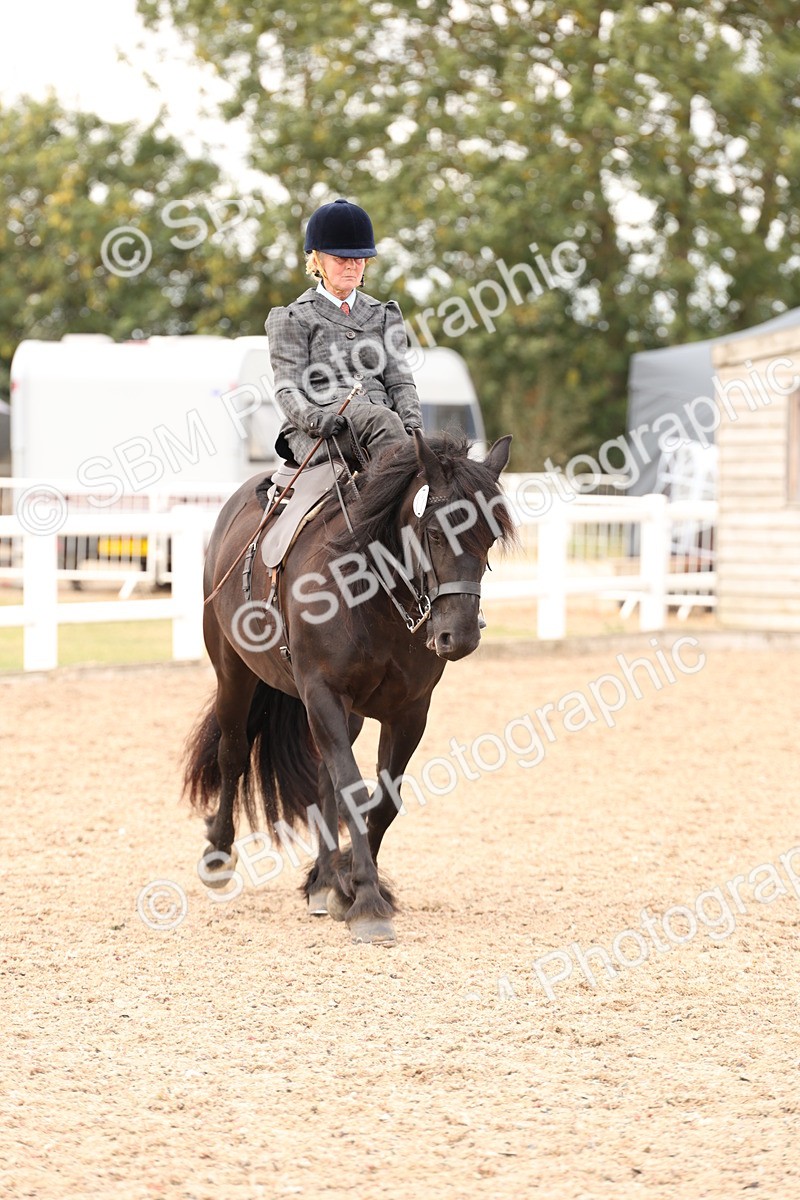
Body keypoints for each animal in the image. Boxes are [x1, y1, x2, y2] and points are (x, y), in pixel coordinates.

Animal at [183, 430, 515, 945]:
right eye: (434, 533)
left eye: (489, 537)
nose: (458, 636)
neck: (371, 593)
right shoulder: (323, 696)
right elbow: (356, 796)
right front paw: (367, 902)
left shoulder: (409, 712)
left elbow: (383, 800)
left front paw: (348, 887)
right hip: (234, 673)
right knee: (234, 752)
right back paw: (218, 857)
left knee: (324, 777)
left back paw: (323, 880)